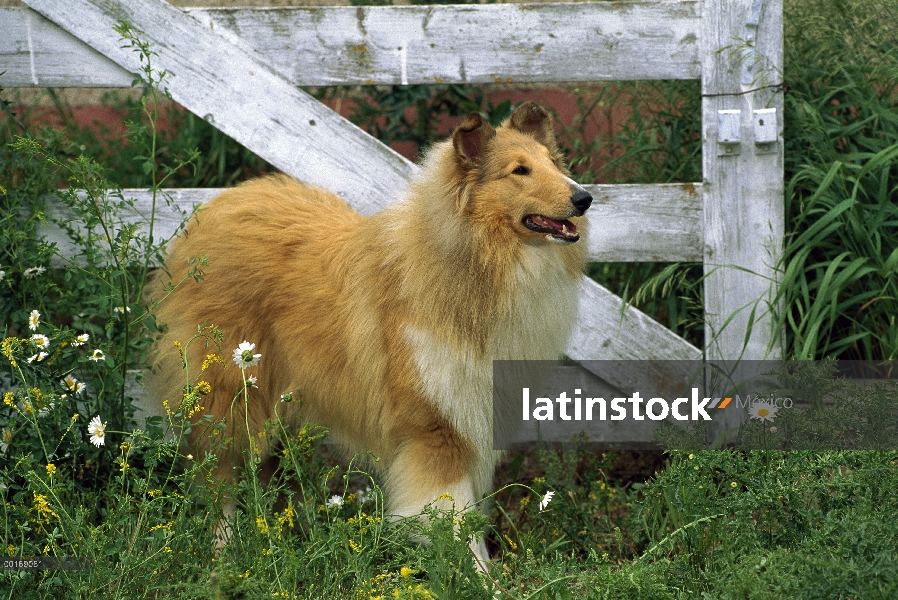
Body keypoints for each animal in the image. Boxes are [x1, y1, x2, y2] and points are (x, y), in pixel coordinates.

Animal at [149, 101, 588, 568]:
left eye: (553, 163)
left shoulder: (473, 421)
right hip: (231, 395)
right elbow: (453, 518)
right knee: (220, 476)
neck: (477, 261)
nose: (585, 198)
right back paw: (225, 552)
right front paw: (478, 576)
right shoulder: (435, 430)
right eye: (519, 170)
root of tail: (217, 206)